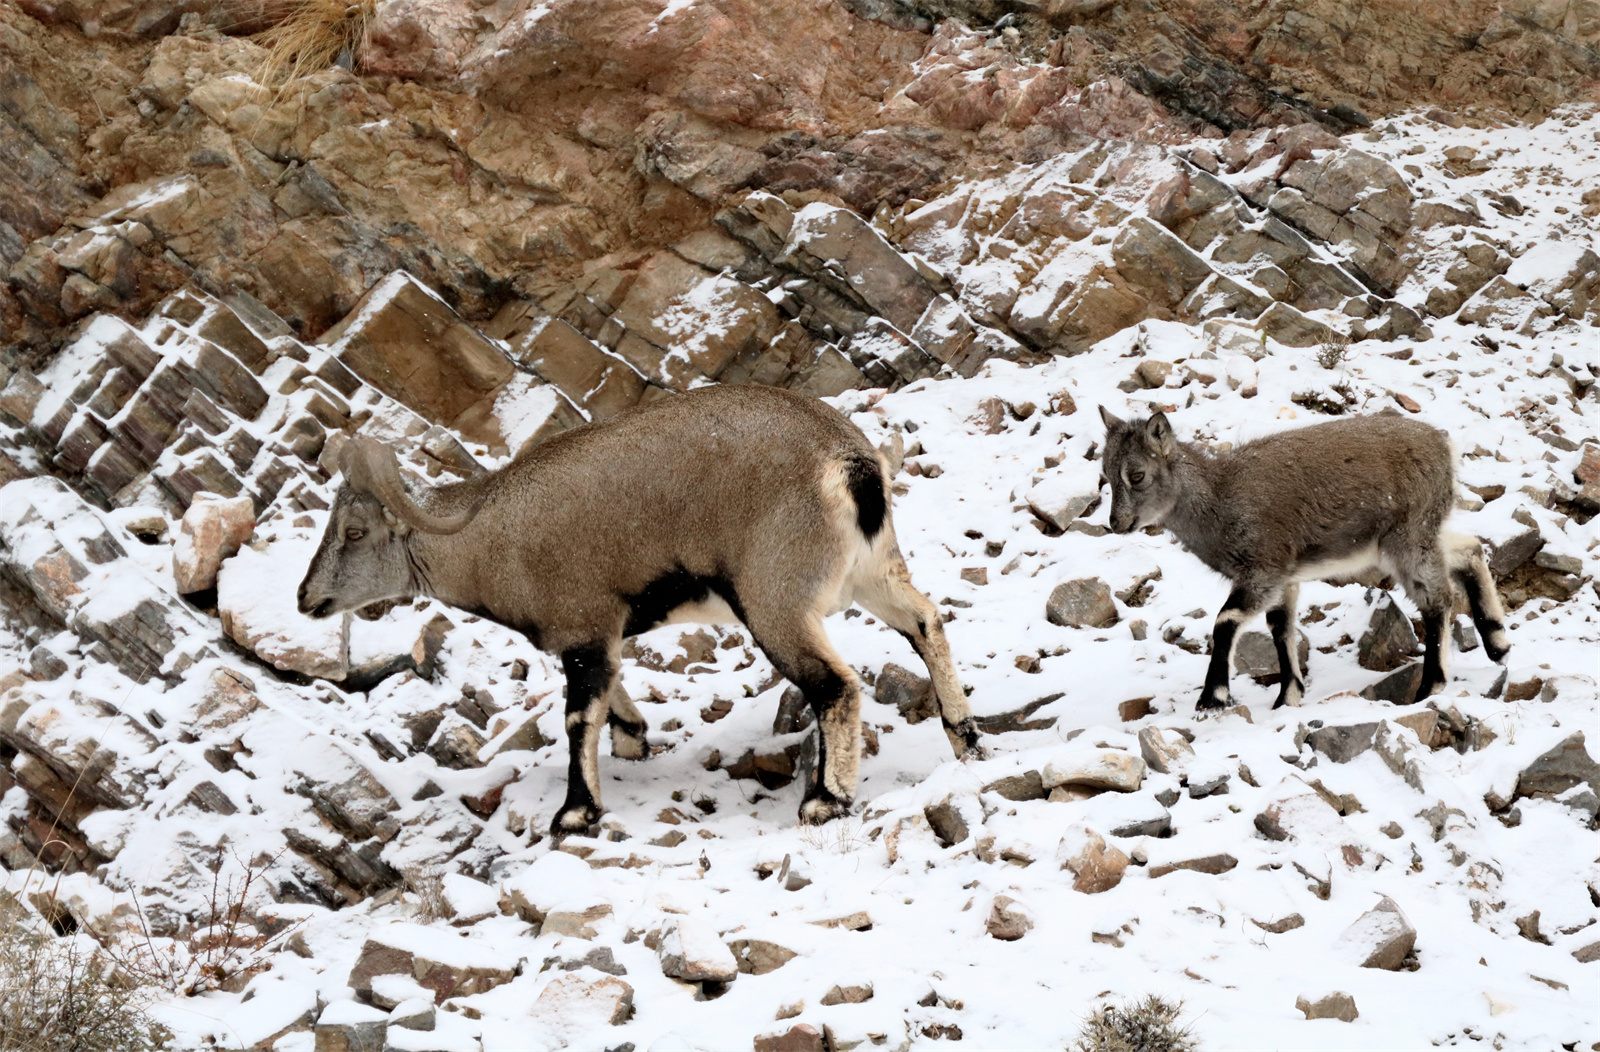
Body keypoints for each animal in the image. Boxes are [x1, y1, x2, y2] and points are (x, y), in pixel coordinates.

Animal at [296, 380, 979, 831]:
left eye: (354, 532)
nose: (307, 598)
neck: (491, 537)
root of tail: (851, 462)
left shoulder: (583, 629)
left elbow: (578, 718)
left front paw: (576, 813)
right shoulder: (602, 637)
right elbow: (613, 696)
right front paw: (631, 741)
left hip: (775, 604)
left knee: (835, 686)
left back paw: (826, 799)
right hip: (871, 575)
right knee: (925, 621)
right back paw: (965, 738)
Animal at [1100, 406, 1510, 709]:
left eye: (1137, 474)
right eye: (1105, 473)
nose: (1116, 522)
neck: (1221, 498)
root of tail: (1444, 446)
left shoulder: (1264, 569)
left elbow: (1226, 620)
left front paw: (1213, 697)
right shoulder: (1285, 579)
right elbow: (1281, 627)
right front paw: (1288, 696)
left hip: (1407, 539)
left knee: (1436, 598)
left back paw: (1430, 687)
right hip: (1415, 537)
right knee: (1470, 548)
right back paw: (1497, 641)